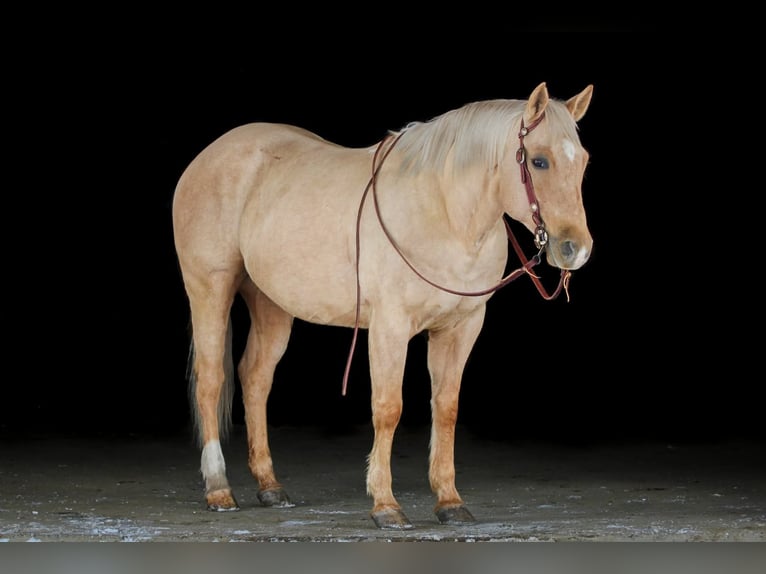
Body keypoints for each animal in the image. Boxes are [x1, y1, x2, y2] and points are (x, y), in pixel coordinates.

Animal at [172, 82, 594, 529]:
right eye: (539, 160)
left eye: (583, 162)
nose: (576, 249)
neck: (444, 212)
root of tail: (208, 156)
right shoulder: (389, 327)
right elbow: (388, 407)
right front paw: (385, 504)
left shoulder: (461, 327)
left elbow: (446, 408)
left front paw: (449, 501)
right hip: (209, 289)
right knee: (211, 380)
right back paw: (219, 489)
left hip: (272, 305)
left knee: (254, 379)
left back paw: (270, 486)